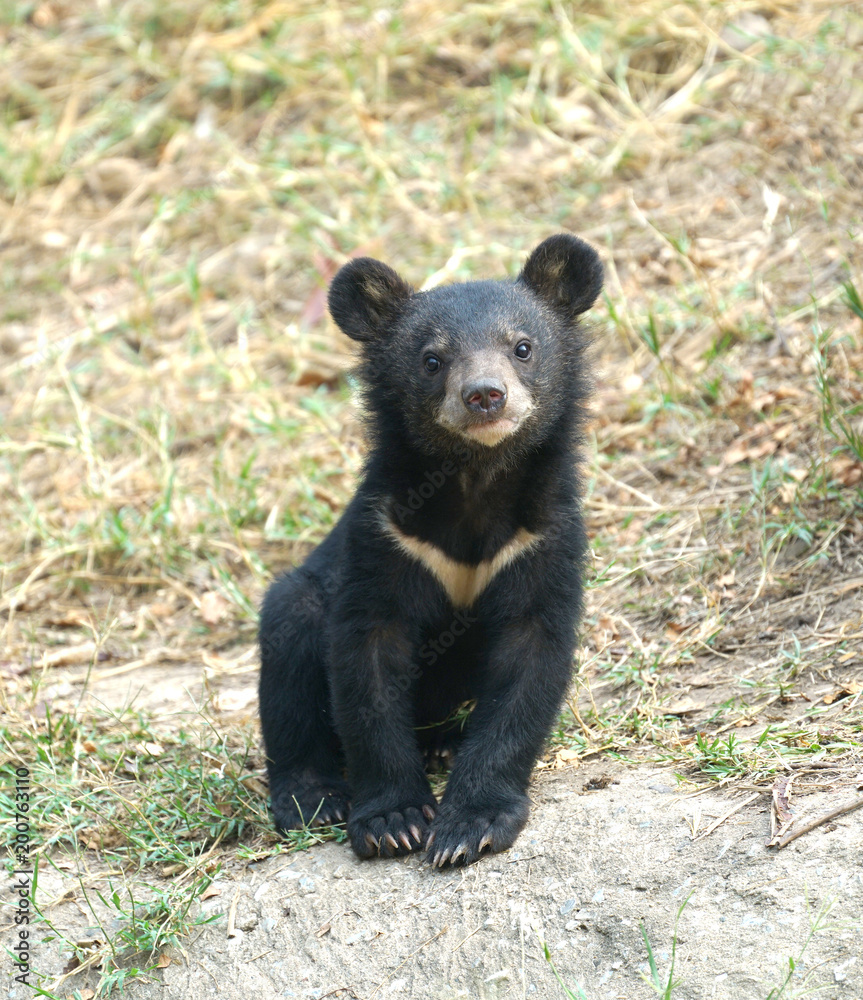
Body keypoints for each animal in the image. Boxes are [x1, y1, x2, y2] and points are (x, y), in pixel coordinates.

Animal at [259, 234, 603, 866]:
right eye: (432, 360)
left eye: (522, 348)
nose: (485, 396)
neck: (474, 478)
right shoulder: (386, 535)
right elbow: (368, 655)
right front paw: (392, 822)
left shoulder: (544, 537)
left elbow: (530, 660)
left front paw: (471, 825)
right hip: (299, 604)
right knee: (291, 640)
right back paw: (312, 796)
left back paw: (443, 744)